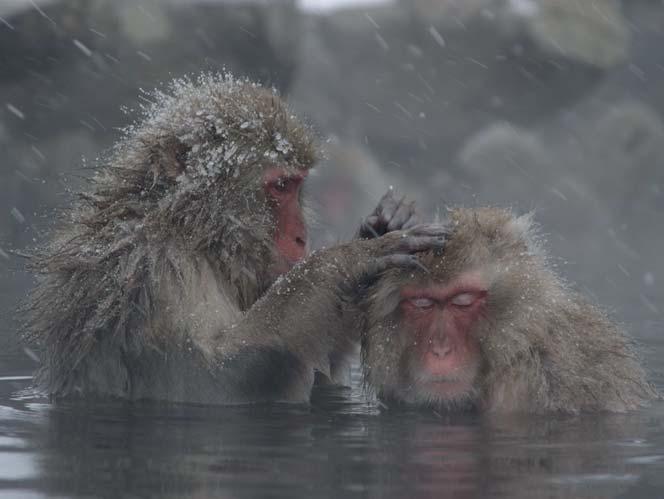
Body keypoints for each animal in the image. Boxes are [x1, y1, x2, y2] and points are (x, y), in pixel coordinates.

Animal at [22, 73, 436, 402]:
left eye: (297, 185)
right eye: (280, 187)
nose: (302, 238)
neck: (192, 232)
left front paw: (383, 224)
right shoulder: (152, 275)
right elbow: (213, 381)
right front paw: (346, 261)